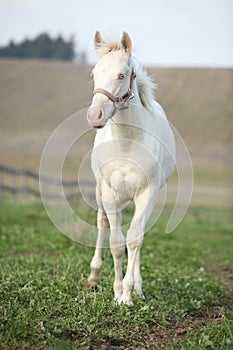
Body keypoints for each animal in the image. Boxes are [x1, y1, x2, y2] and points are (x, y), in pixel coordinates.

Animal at [86, 32, 176, 306]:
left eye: (121, 75)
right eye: (94, 73)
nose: (95, 115)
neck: (126, 144)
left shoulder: (147, 193)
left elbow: (135, 239)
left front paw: (127, 293)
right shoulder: (110, 193)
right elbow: (116, 242)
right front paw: (116, 292)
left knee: (139, 233)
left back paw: (137, 286)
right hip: (100, 192)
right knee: (102, 223)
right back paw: (94, 277)